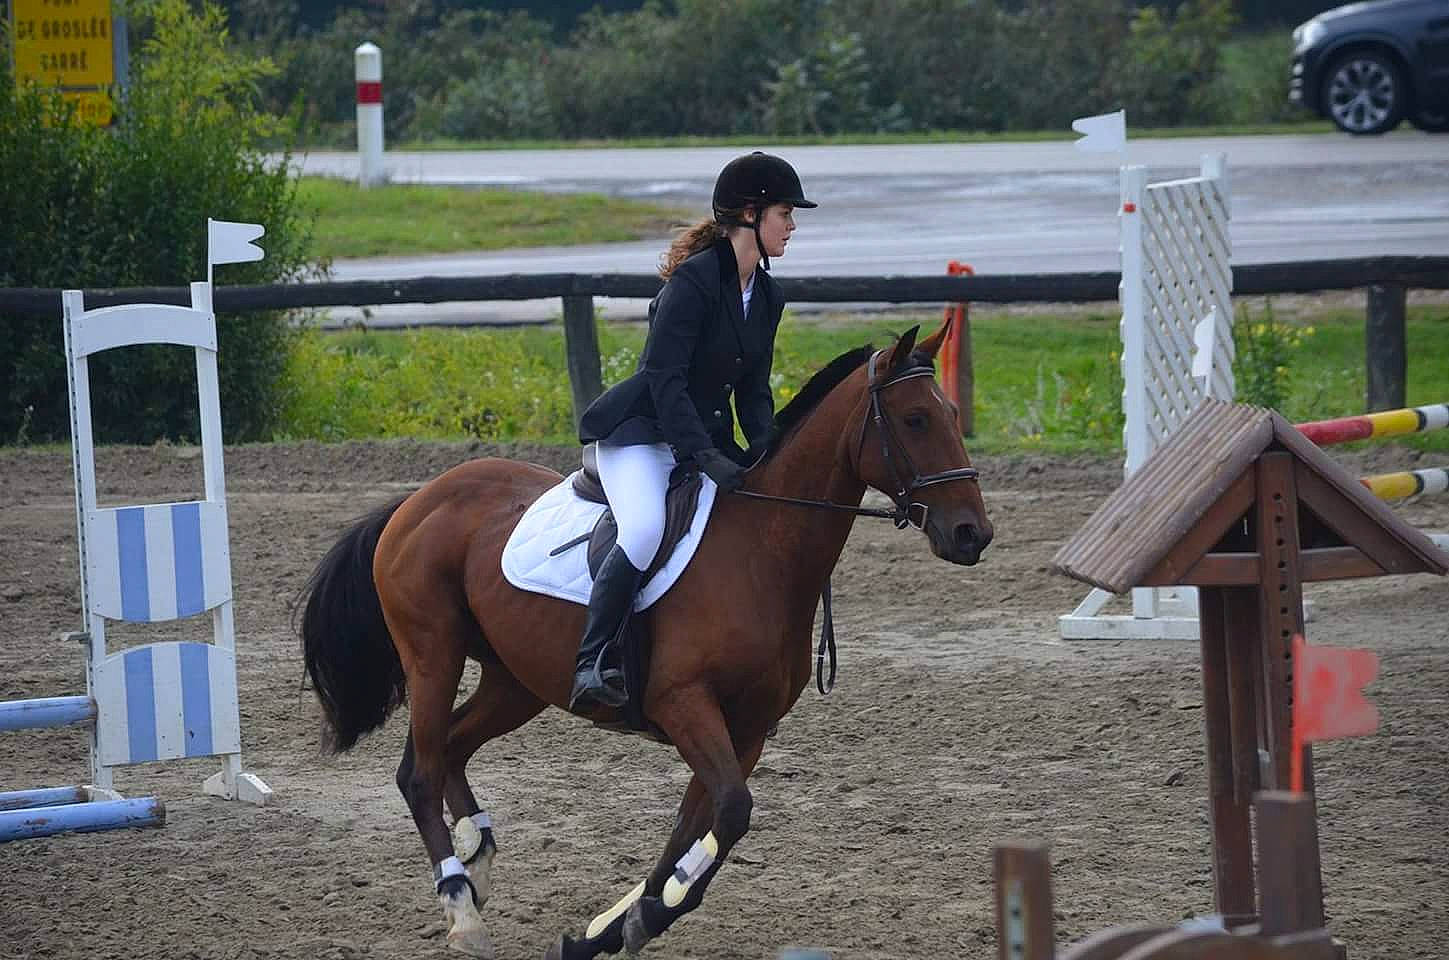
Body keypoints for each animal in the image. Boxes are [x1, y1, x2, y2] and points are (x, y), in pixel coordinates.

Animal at [299, 318, 993, 959]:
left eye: (953, 415)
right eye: (913, 420)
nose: (973, 534)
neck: (764, 551)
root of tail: (416, 500)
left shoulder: (747, 728)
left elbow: (697, 826)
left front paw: (606, 929)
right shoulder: (683, 703)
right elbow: (730, 812)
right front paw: (646, 914)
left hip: (516, 681)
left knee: (451, 748)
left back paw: (480, 854)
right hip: (433, 657)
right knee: (419, 770)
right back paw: (462, 907)